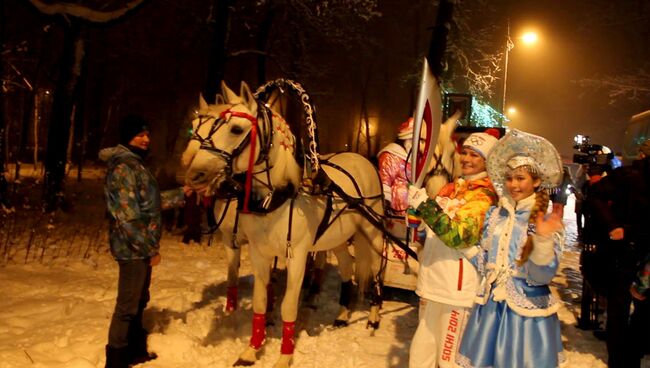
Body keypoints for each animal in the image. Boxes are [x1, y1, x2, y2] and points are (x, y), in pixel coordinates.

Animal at [182, 81, 384, 368]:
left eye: (235, 129)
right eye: (195, 127)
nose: (193, 174)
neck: (278, 196)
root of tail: (362, 160)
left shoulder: (297, 256)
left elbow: (289, 305)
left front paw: (285, 355)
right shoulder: (257, 252)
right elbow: (259, 298)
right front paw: (252, 349)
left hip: (372, 233)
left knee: (376, 271)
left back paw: (374, 317)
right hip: (337, 238)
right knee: (347, 267)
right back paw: (343, 313)